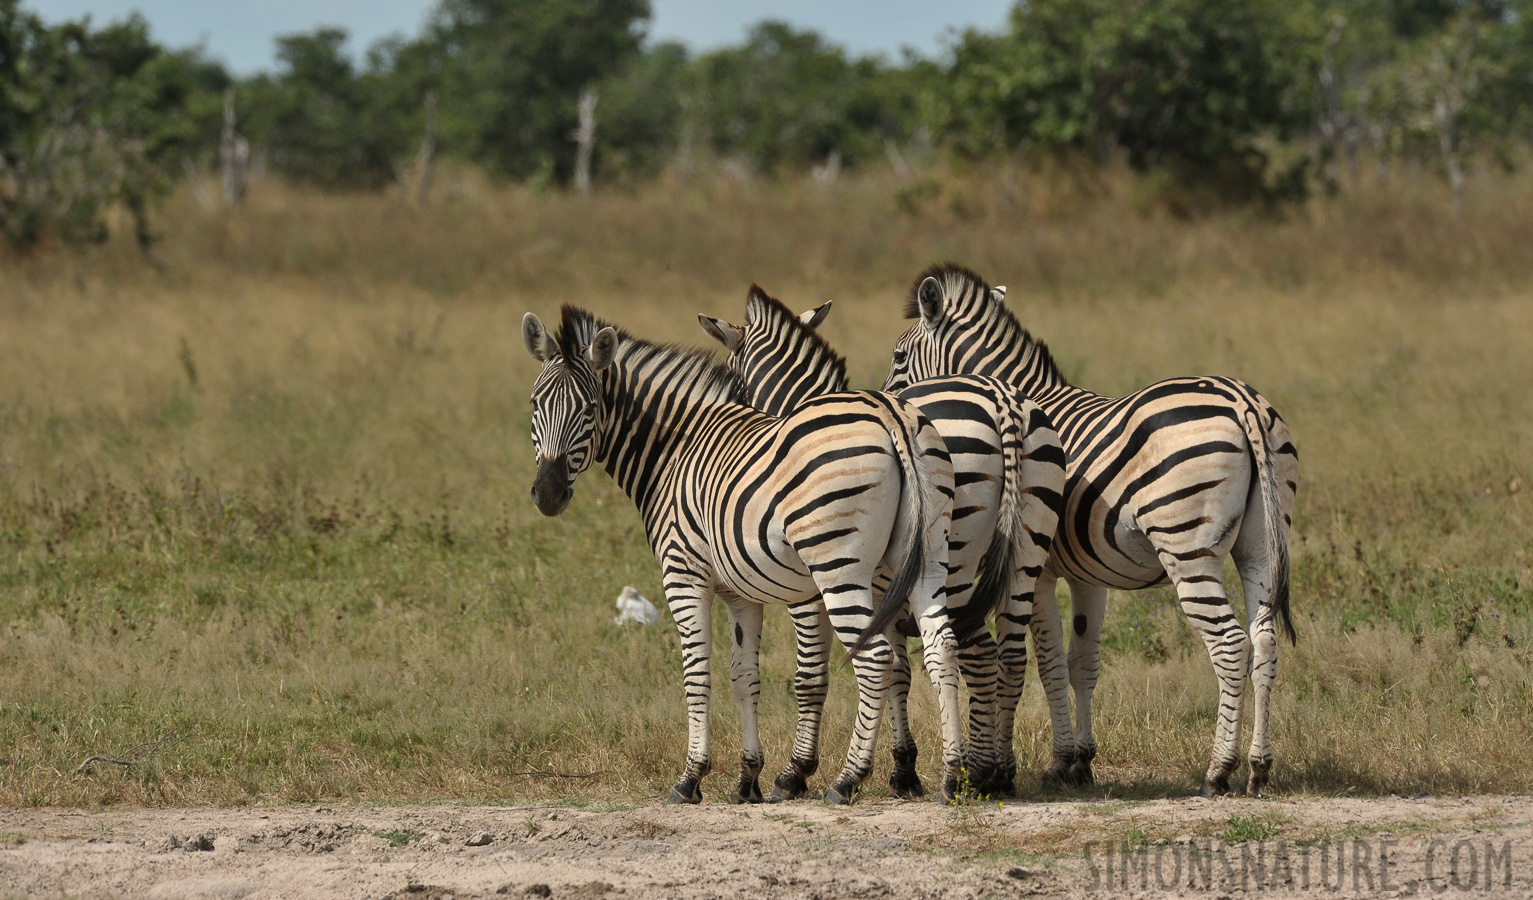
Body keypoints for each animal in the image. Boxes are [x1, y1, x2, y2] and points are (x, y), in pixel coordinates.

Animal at [521, 306, 962, 803]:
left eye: (590, 409)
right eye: (535, 405)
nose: (548, 495)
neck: (675, 448)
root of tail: (890, 412)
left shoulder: (684, 575)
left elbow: (698, 676)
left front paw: (691, 777)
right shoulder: (741, 592)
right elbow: (744, 677)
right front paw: (748, 777)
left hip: (838, 568)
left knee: (876, 658)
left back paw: (848, 779)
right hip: (927, 555)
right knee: (940, 646)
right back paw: (953, 775)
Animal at [702, 288, 1073, 797]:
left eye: (731, 379)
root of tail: (1003, 401)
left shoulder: (821, 587)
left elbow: (819, 675)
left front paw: (802, 772)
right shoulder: (884, 593)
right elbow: (897, 669)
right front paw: (902, 767)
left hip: (956, 559)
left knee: (977, 651)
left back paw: (977, 770)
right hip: (1027, 546)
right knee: (1011, 654)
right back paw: (1000, 772)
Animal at [883, 263, 1299, 797]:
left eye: (898, 356)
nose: (890, 404)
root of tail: (1242, 401)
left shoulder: (1039, 571)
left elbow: (1047, 661)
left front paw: (1055, 762)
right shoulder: (1088, 573)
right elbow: (1083, 662)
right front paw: (1081, 762)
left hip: (1187, 545)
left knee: (1229, 644)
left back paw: (1218, 771)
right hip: (1261, 545)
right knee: (1265, 639)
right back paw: (1259, 768)